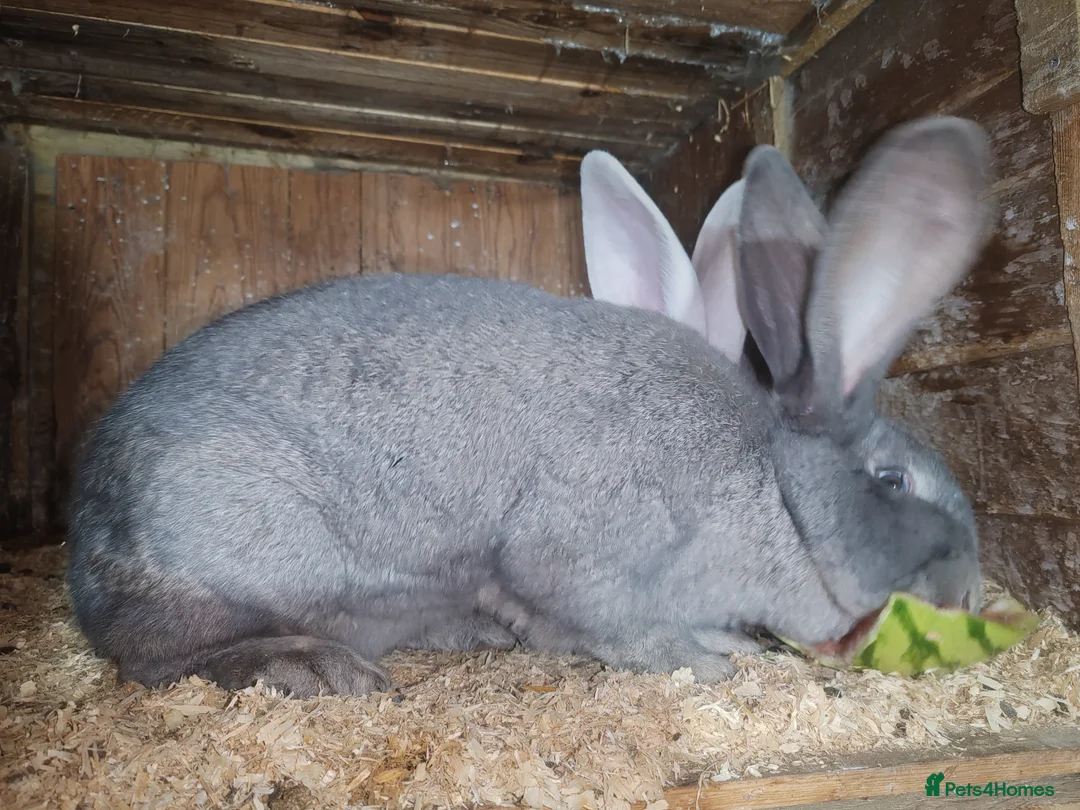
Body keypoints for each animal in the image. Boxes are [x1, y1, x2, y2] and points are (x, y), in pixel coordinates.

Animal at [67, 116, 993, 699]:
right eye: (894, 482)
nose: (969, 592)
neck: (776, 485)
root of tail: (84, 548)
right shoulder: (578, 552)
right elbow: (612, 622)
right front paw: (709, 661)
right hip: (240, 551)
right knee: (153, 655)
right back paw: (313, 670)